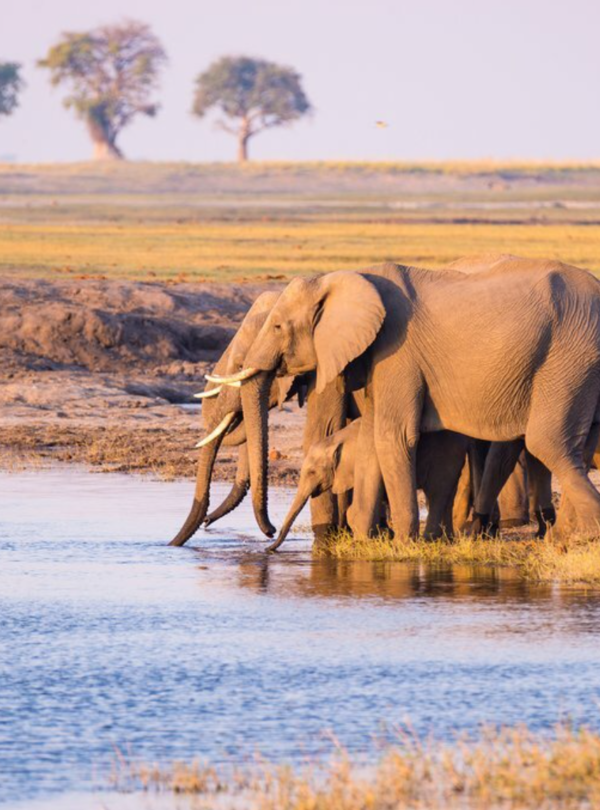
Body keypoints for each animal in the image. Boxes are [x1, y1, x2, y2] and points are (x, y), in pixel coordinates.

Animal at [268, 416, 468, 548]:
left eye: (311, 472)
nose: (269, 547)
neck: (337, 438)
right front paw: (385, 534)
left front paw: (382, 535)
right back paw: (447, 540)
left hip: (445, 456)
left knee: (436, 492)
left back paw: (431, 540)